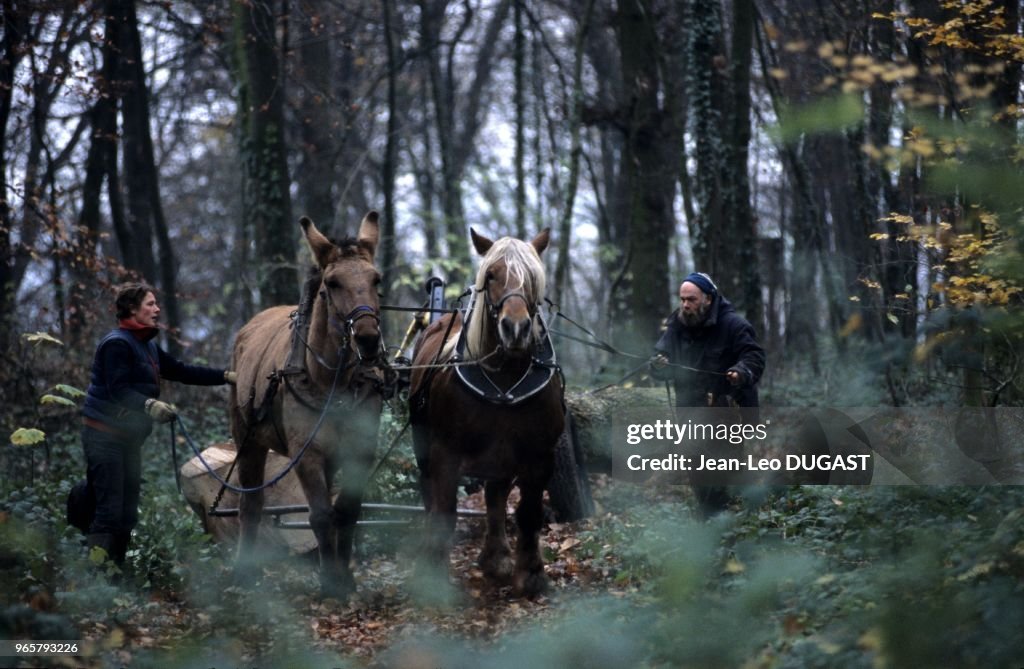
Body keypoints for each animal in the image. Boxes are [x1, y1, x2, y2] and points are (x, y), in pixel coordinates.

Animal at [229, 212, 384, 598]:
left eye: (376, 279)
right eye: (332, 282)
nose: (368, 339)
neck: (332, 382)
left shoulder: (359, 450)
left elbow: (346, 509)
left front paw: (345, 575)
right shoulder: (307, 452)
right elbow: (320, 514)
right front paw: (330, 582)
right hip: (247, 438)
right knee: (250, 504)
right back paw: (244, 570)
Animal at [409, 228, 564, 597]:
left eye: (533, 278)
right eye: (491, 275)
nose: (516, 328)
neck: (504, 380)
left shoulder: (540, 455)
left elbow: (528, 512)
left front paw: (531, 573)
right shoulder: (445, 454)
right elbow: (444, 513)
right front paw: (434, 578)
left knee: (495, 496)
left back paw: (497, 556)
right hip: (424, 448)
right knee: (430, 497)